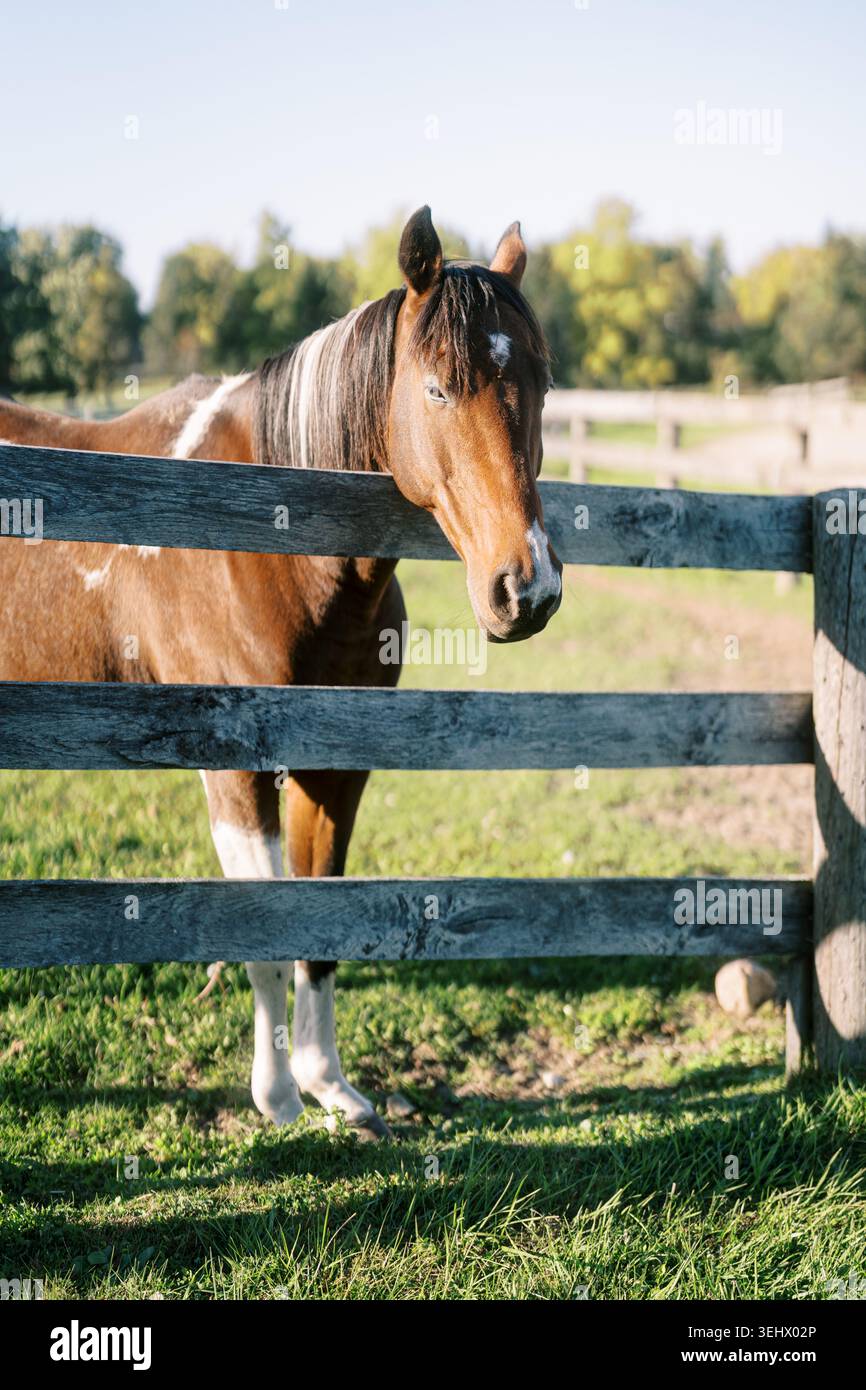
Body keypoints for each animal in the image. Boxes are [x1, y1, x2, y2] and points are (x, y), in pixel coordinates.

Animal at [0, 207, 562, 1138]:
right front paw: (277, 1098)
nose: (529, 589)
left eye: (544, 387)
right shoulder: (234, 770)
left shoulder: (337, 765)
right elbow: (262, 934)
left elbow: (318, 924)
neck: (275, 543)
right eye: (438, 389)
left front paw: (330, 1082)